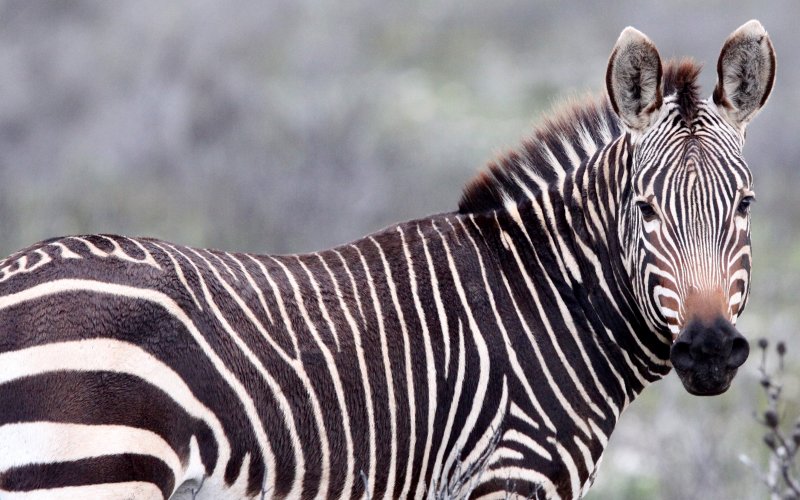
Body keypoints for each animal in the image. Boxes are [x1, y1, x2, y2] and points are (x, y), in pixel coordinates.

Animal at [0, 19, 776, 500]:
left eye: (745, 205)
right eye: (645, 211)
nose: (709, 351)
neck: (550, 303)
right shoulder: (509, 471)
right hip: (92, 469)